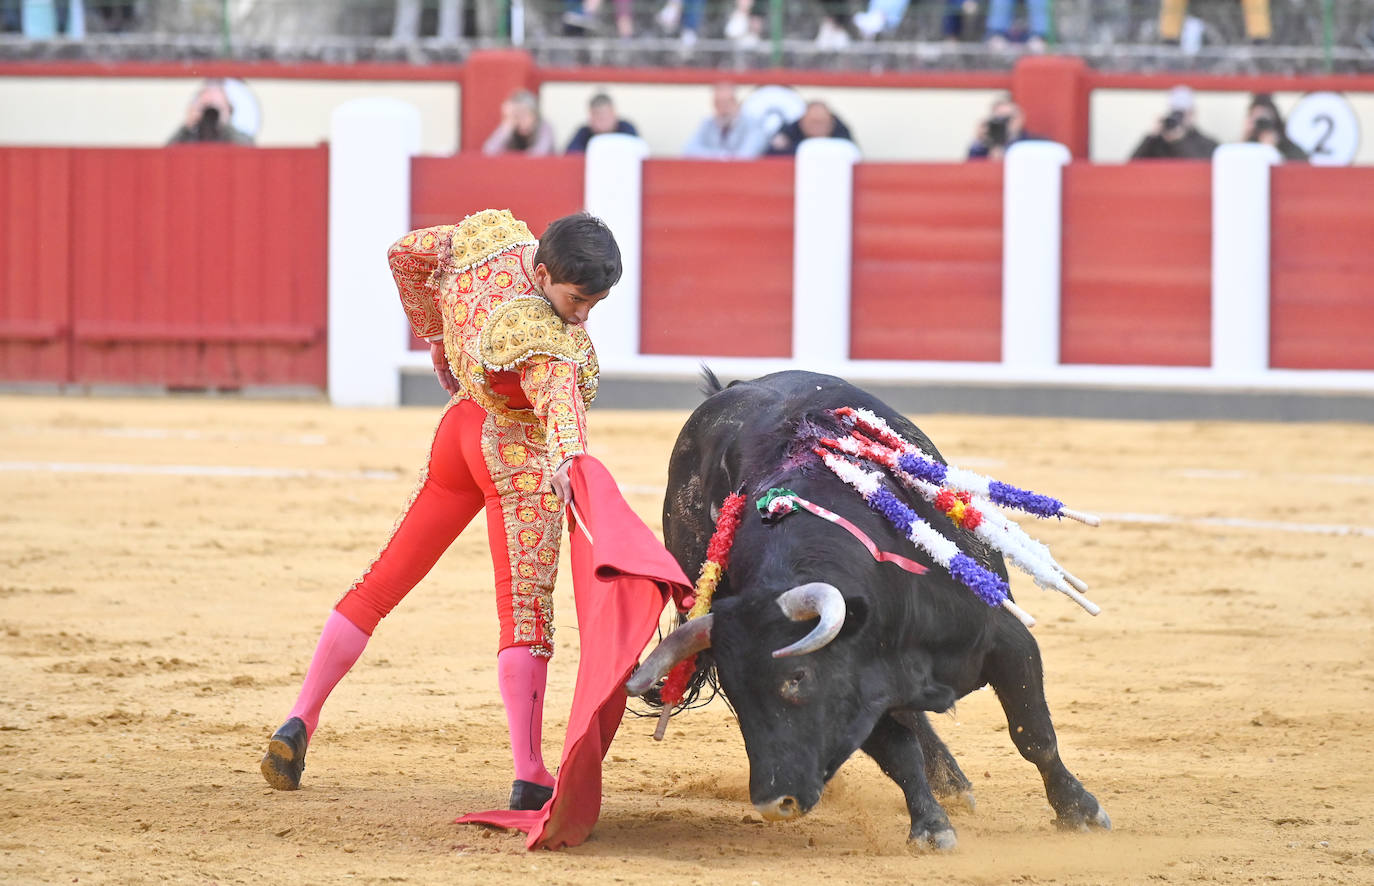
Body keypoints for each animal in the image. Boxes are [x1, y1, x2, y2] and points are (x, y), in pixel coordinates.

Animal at [629, 370, 1110, 846]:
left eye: (797, 677)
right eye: (736, 691)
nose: (774, 801)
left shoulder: (1007, 640)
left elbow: (1034, 734)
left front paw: (1080, 811)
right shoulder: (859, 684)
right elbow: (899, 753)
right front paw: (931, 827)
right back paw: (950, 784)